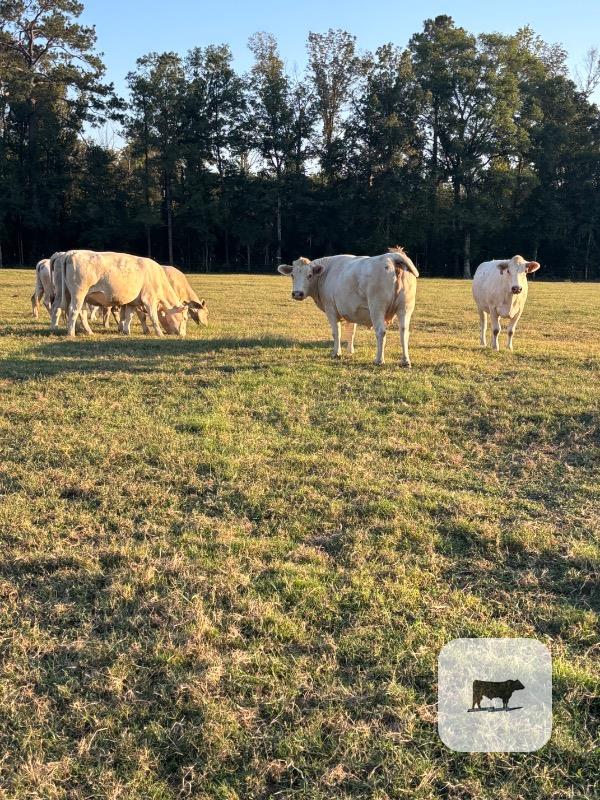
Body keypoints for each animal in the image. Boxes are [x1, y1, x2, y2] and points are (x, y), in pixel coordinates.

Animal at [58, 250, 201, 337]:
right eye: (185, 318)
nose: (183, 335)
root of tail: (72, 253)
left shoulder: (133, 302)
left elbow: (129, 316)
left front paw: (126, 331)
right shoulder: (149, 300)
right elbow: (153, 317)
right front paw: (159, 333)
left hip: (77, 296)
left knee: (80, 313)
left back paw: (87, 331)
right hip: (79, 293)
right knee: (73, 311)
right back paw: (71, 333)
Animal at [277, 247, 419, 366]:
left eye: (309, 275)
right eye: (292, 275)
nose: (297, 293)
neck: (326, 274)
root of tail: (392, 256)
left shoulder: (330, 309)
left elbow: (336, 332)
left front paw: (337, 353)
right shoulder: (352, 310)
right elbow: (351, 332)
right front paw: (350, 351)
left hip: (377, 307)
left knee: (381, 332)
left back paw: (379, 360)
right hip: (405, 307)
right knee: (404, 331)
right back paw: (405, 361)